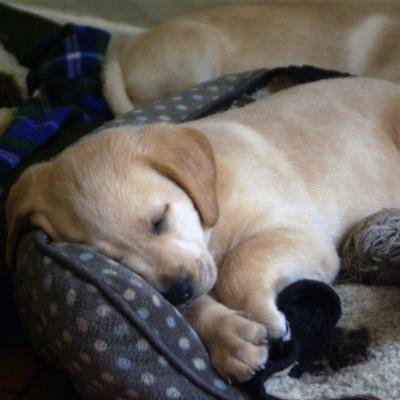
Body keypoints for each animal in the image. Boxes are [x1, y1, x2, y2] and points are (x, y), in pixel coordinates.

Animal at [6, 77, 400, 382]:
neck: (214, 195)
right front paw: (230, 338)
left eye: (159, 220)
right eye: (113, 260)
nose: (179, 291)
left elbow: (238, 263)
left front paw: (260, 312)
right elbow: (192, 299)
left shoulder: (302, 234)